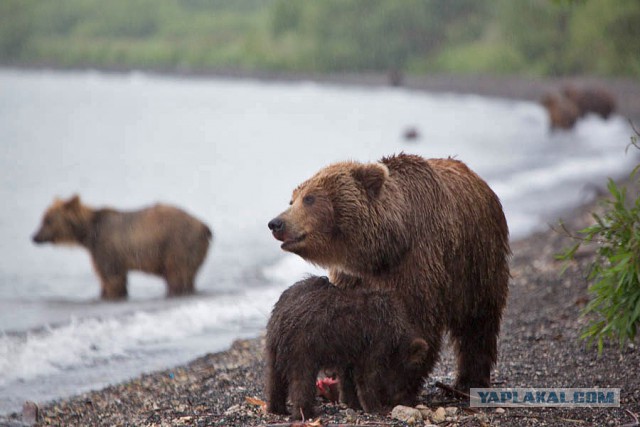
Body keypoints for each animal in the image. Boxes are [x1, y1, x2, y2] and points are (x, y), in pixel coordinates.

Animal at [33, 196, 212, 300]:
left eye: (47, 220)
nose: (34, 237)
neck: (88, 235)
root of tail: (204, 226)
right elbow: (107, 278)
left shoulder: (106, 249)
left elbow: (112, 278)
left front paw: (112, 294)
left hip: (177, 245)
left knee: (177, 275)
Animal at [264, 276, 430, 420]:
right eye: (411, 375)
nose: (409, 401)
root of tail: (284, 315)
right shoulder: (375, 344)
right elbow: (367, 377)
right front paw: (375, 407)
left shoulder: (350, 351)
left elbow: (348, 378)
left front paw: (353, 403)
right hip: (304, 346)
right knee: (302, 381)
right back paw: (305, 412)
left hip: (274, 346)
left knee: (274, 379)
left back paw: (277, 408)